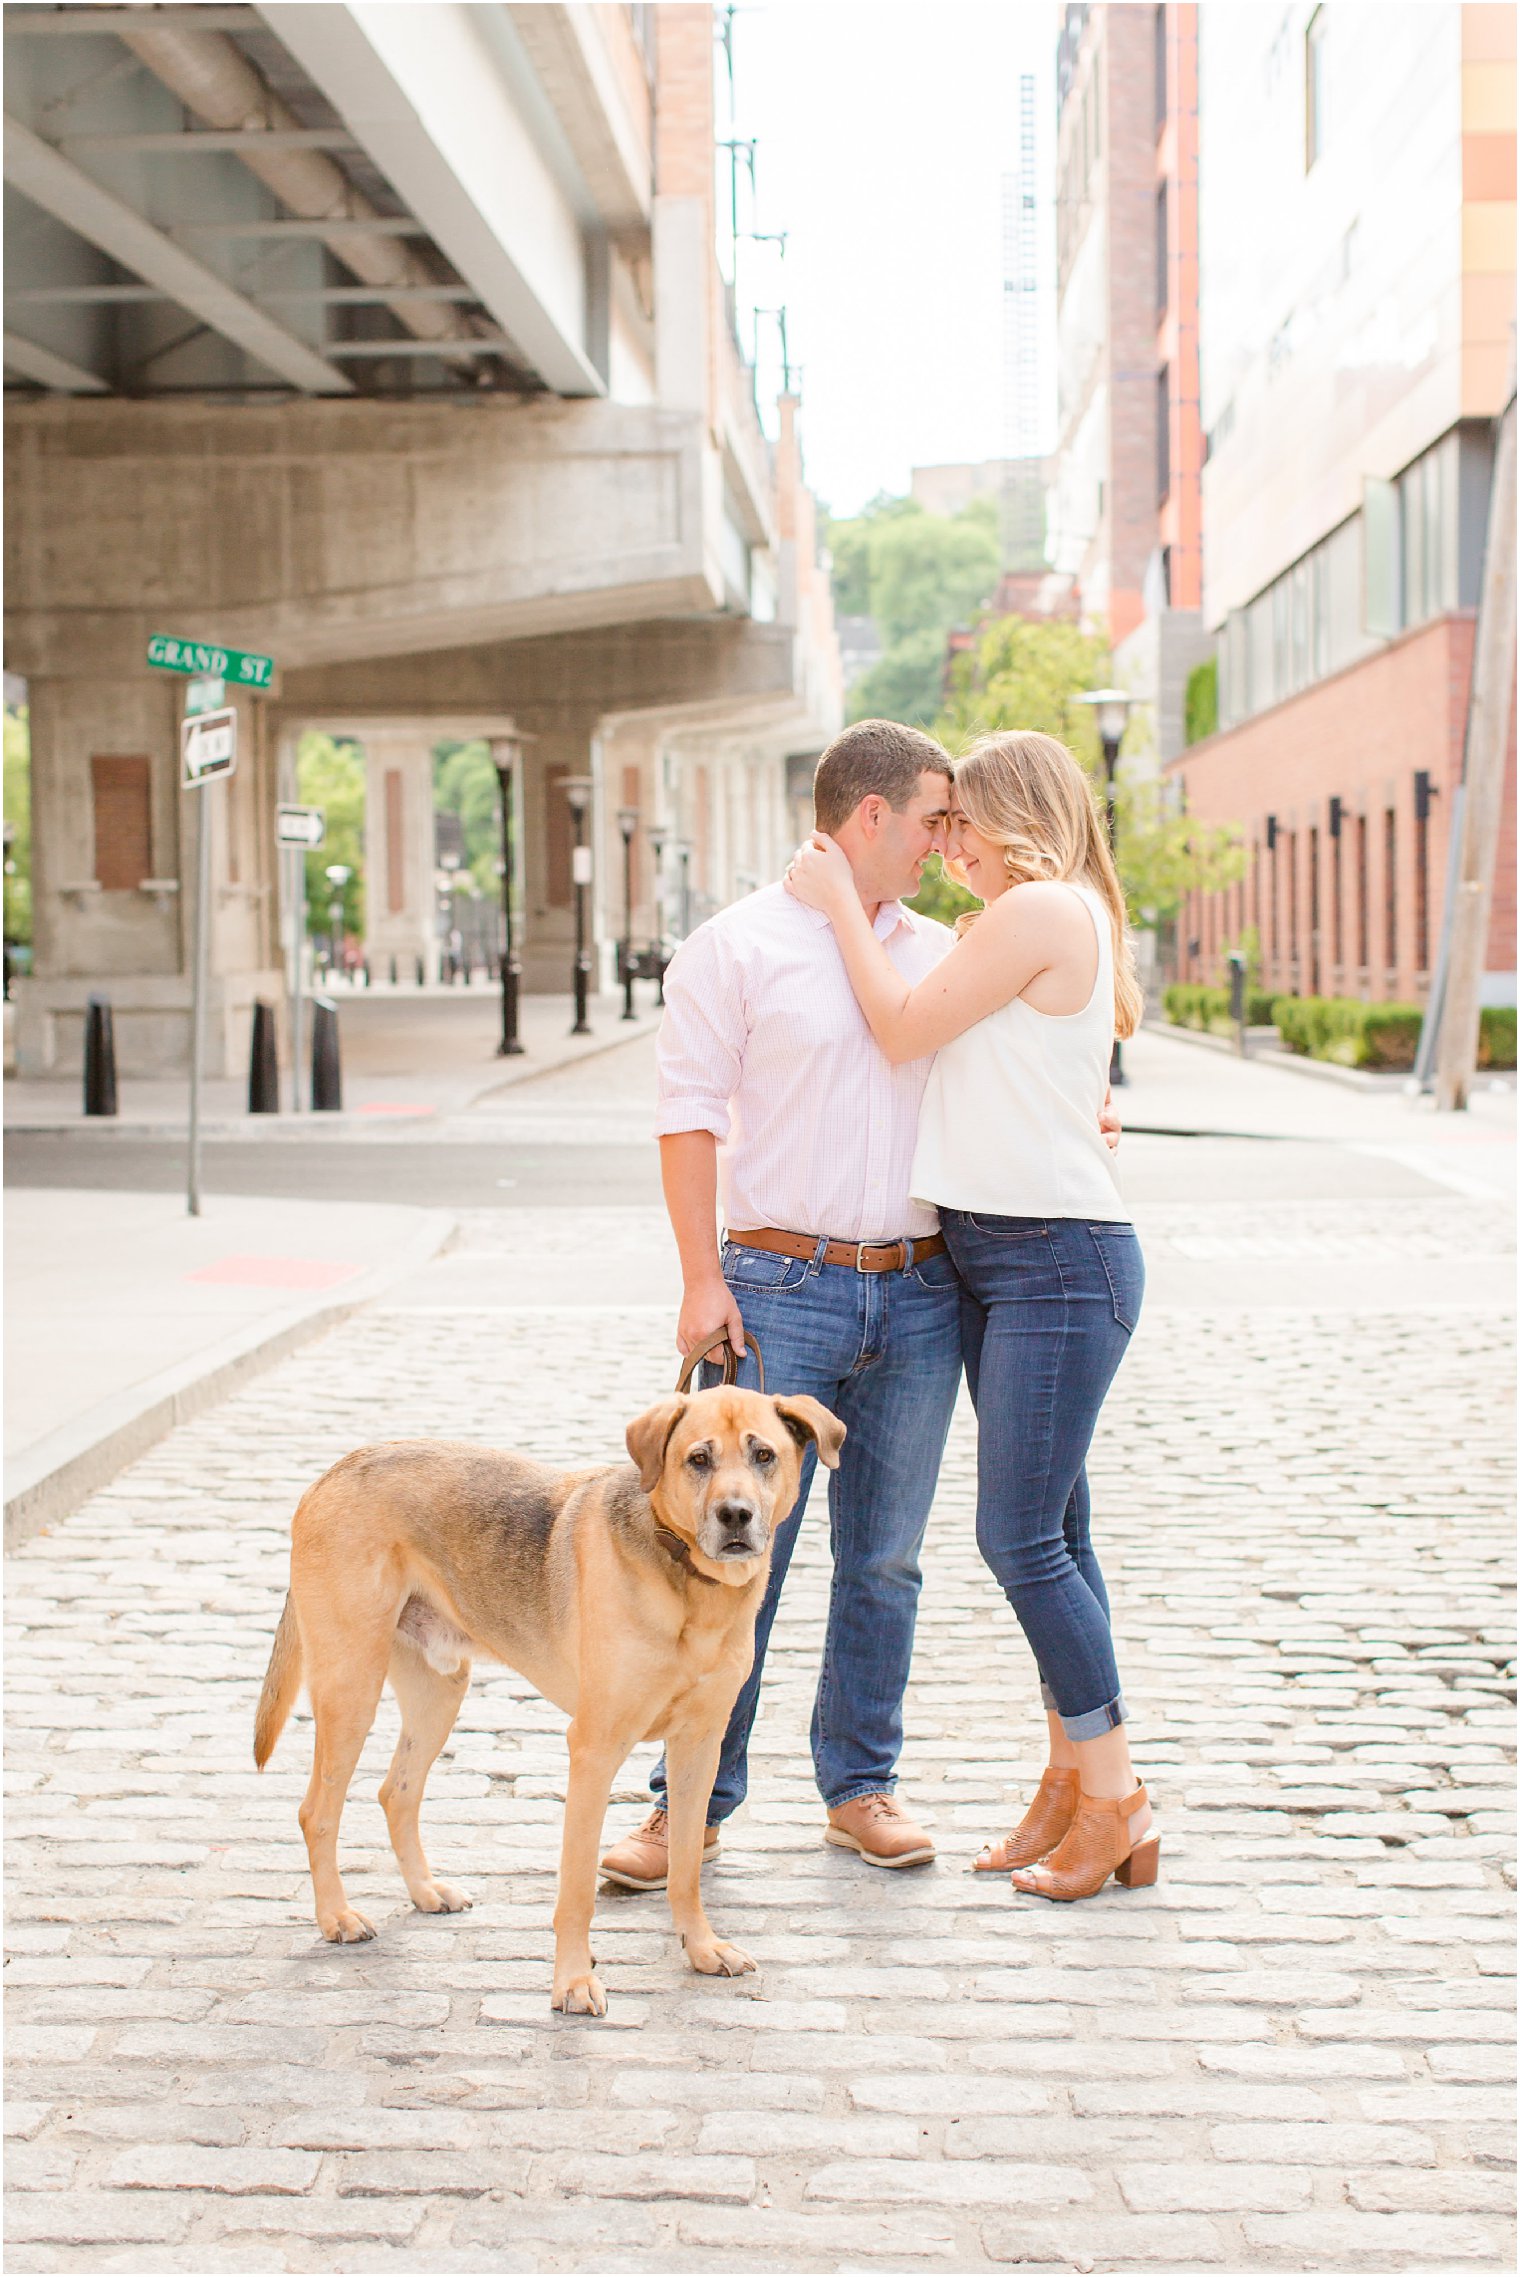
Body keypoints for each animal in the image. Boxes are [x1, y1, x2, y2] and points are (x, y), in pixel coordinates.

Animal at [250, 1375, 841, 2003]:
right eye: (698, 1459)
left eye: (764, 1456)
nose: (735, 1515)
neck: (691, 1585)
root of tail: (332, 1472)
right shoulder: (594, 1749)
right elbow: (576, 1885)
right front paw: (574, 1980)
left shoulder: (698, 1749)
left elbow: (685, 1868)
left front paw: (701, 1948)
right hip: (351, 1690)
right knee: (317, 1811)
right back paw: (336, 1916)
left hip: (439, 1694)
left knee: (397, 1793)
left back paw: (426, 1892)